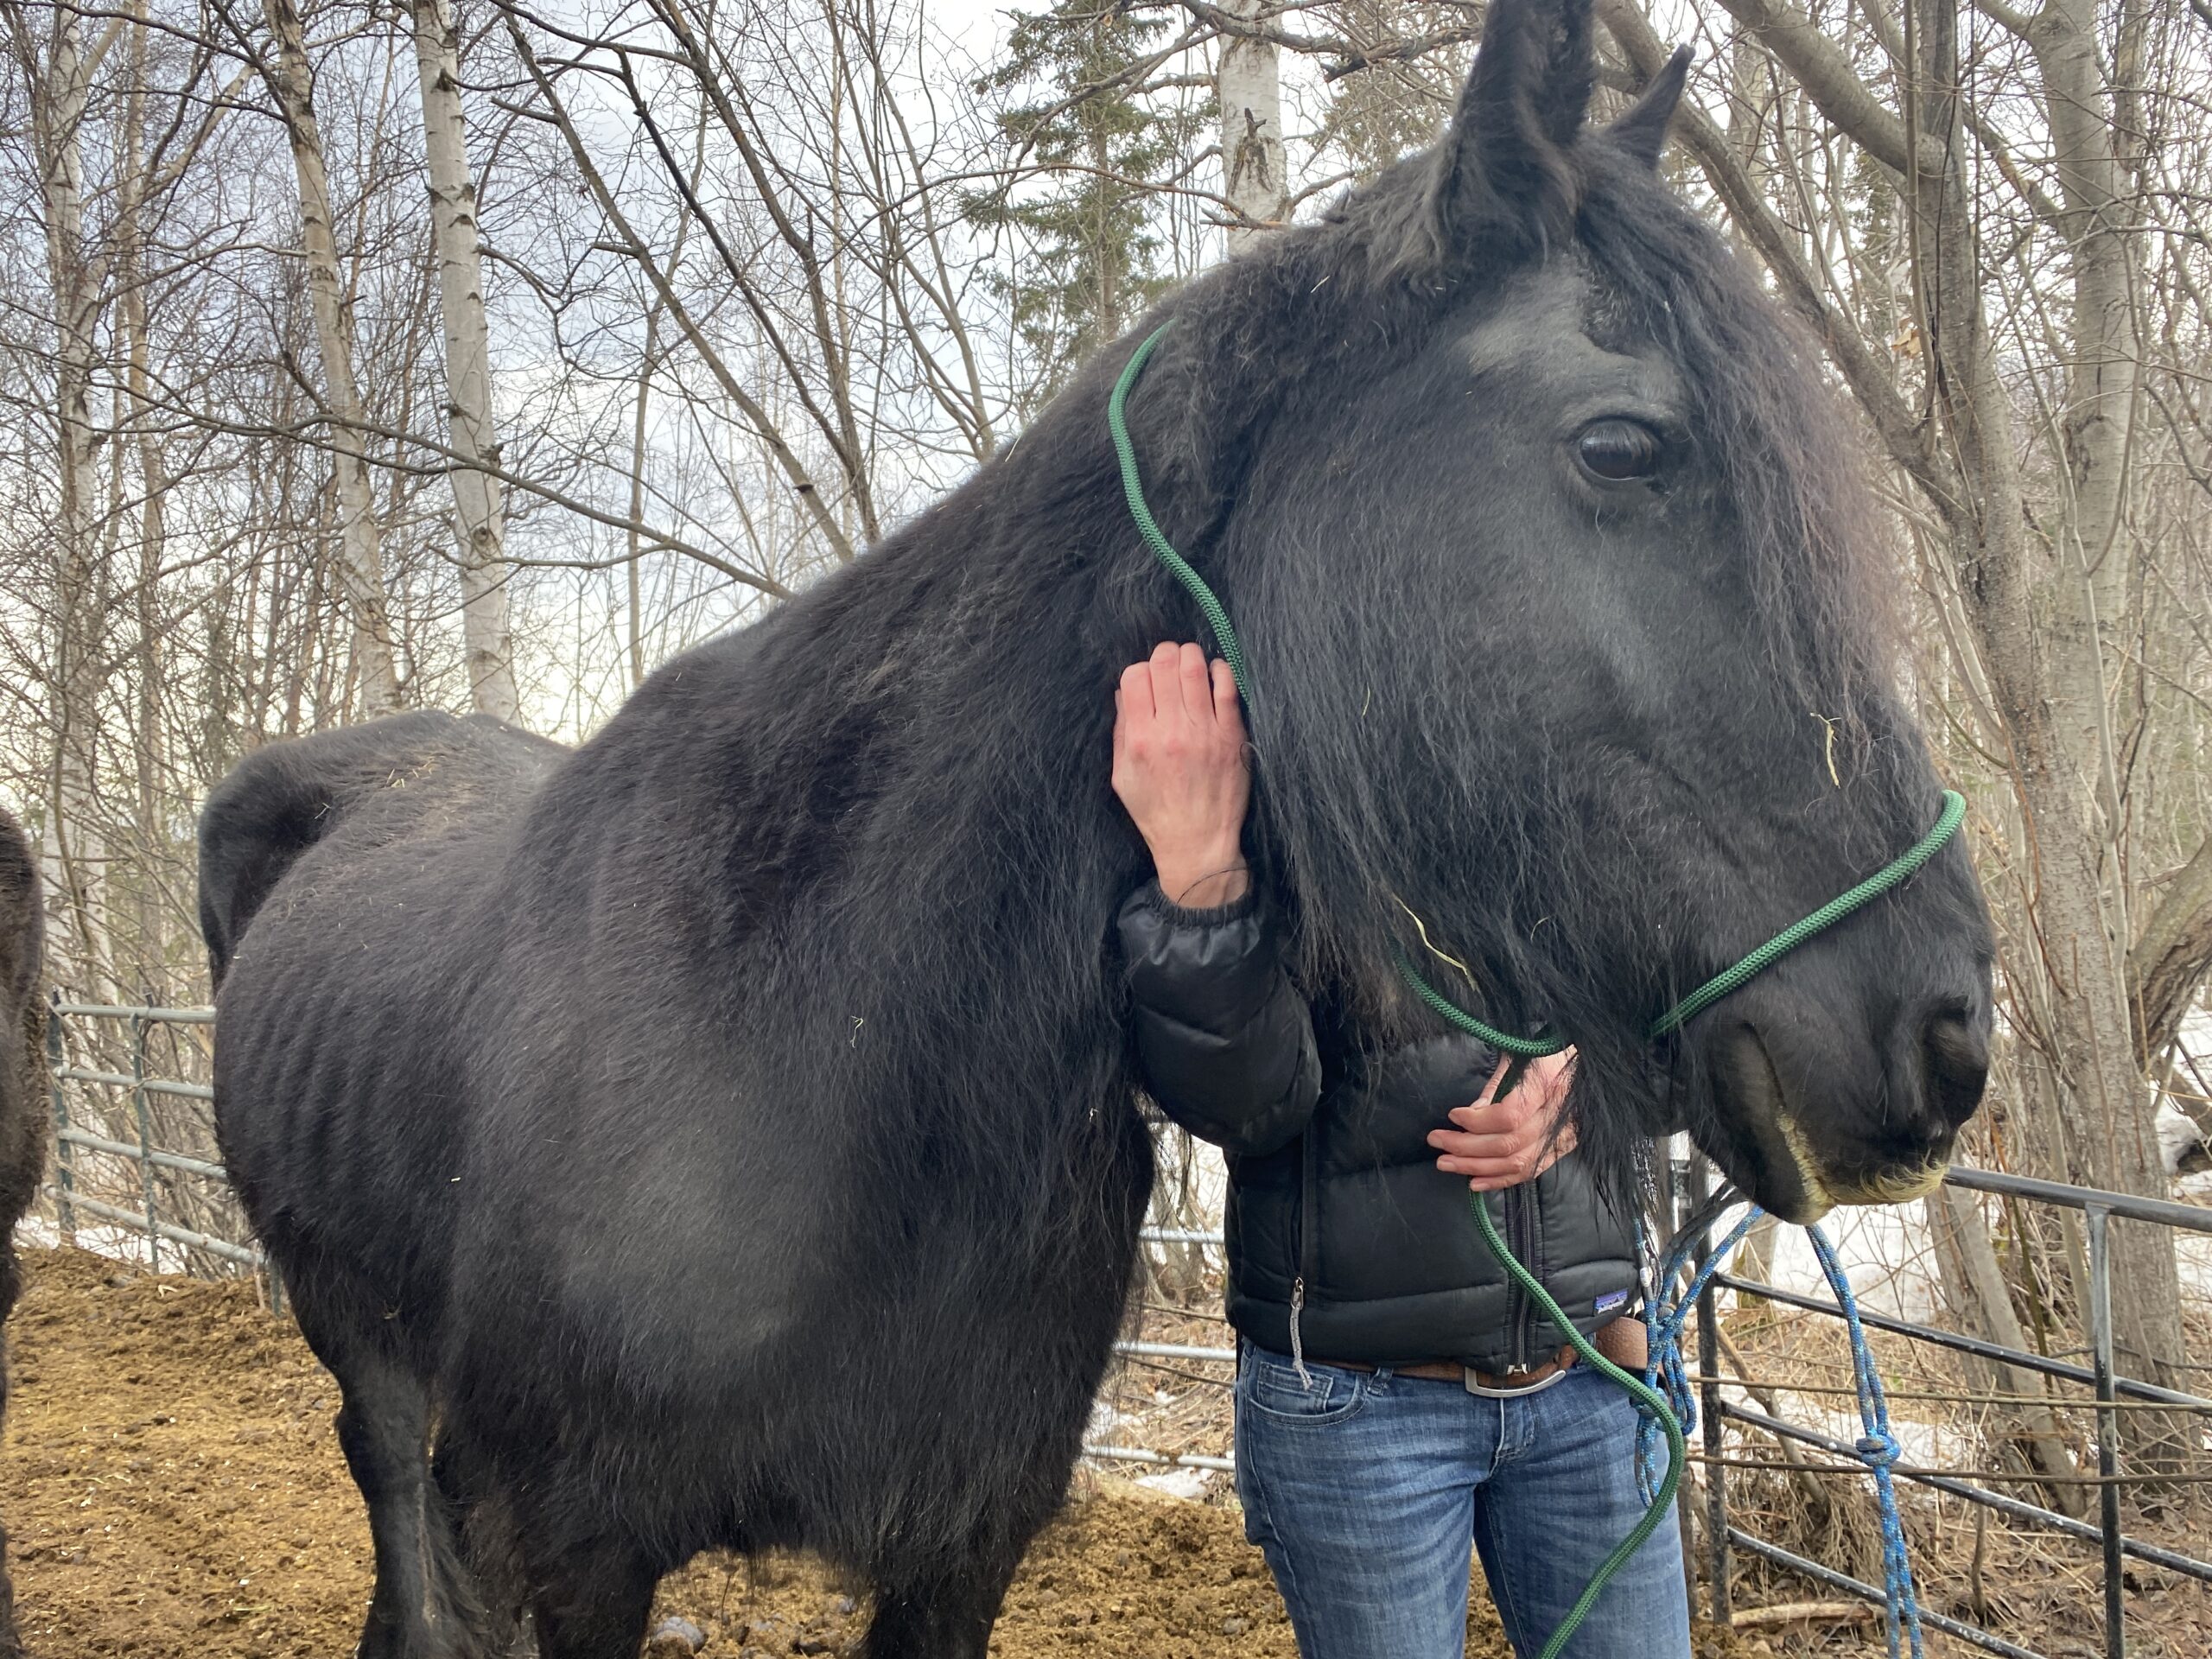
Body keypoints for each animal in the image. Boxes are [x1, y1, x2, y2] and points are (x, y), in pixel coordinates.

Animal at [199, 6, 1999, 1654]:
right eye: (1625, 445)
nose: (1946, 1031)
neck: (809, 1029)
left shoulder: (958, 1549)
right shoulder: (579, 1553)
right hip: (358, 1346)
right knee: (398, 1500)